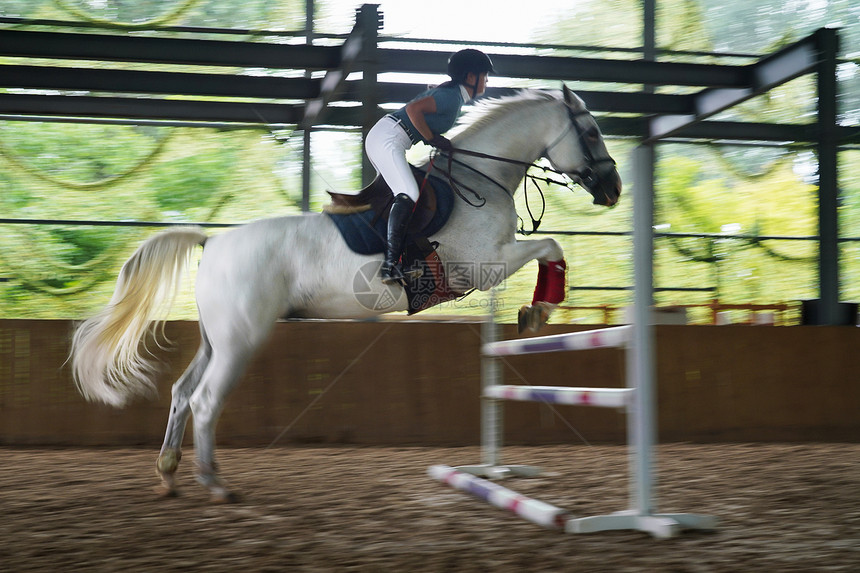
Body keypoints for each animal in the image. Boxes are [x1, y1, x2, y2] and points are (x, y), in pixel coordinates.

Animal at [69, 86, 620, 500]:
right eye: (592, 131)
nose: (614, 188)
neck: (482, 177)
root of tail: (214, 240)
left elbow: (549, 246)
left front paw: (534, 311)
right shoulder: (485, 266)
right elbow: (550, 245)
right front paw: (538, 309)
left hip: (215, 339)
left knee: (183, 393)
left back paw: (168, 472)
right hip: (241, 340)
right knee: (205, 401)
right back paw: (215, 484)